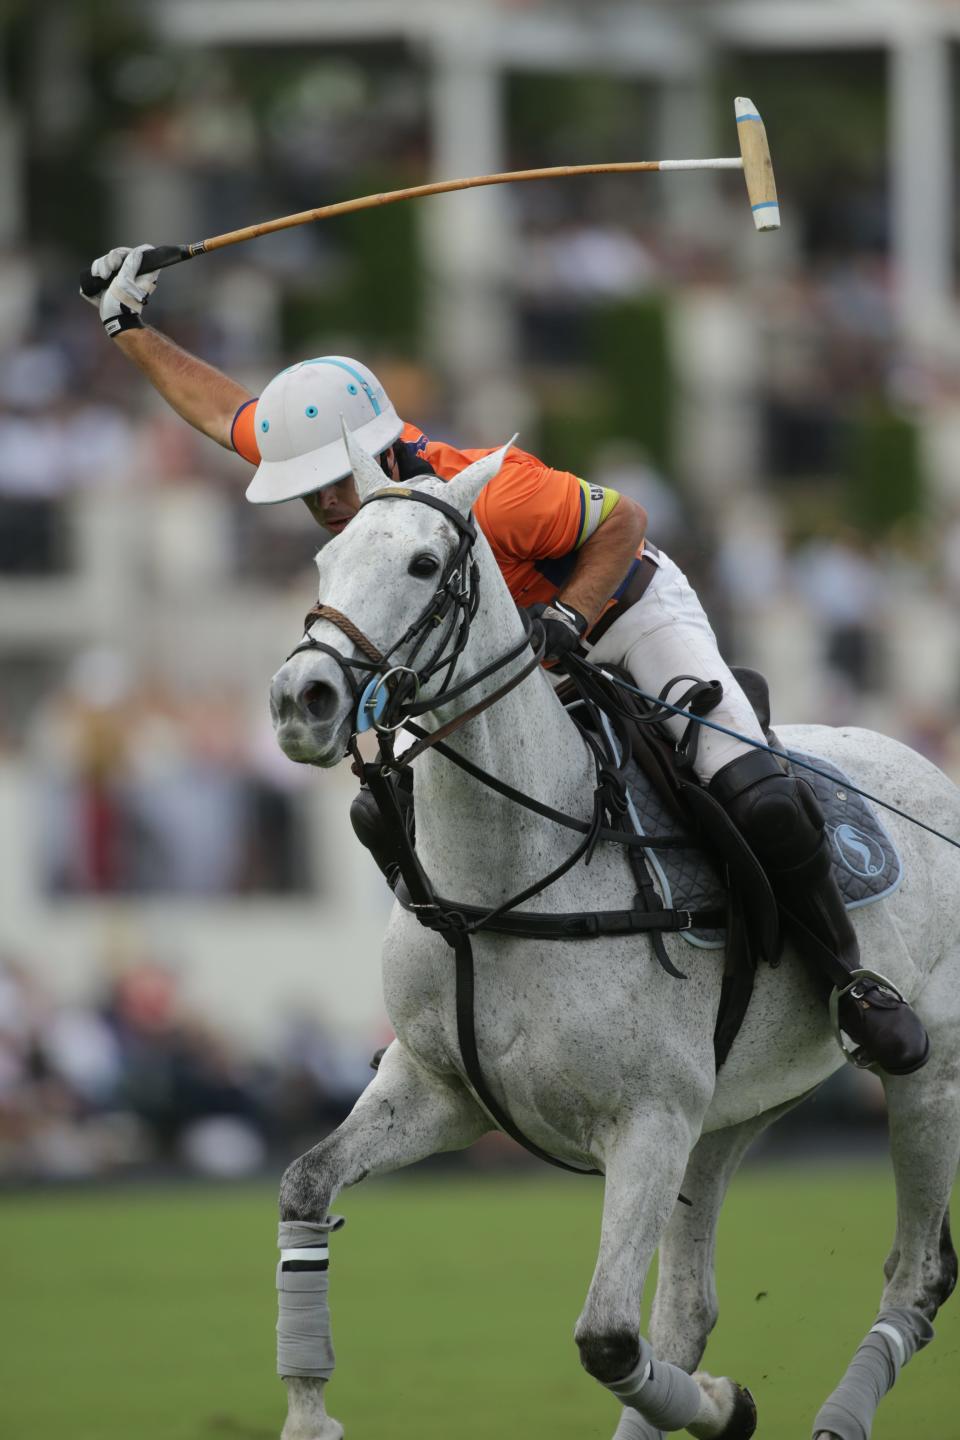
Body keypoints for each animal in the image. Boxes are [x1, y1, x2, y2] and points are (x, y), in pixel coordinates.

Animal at [264, 437, 960, 1440]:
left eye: (426, 565)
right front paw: (310, 1416)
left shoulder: (648, 1121)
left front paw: (727, 1406)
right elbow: (305, 1185)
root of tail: (922, 759)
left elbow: (604, 1338)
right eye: (324, 559)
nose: (301, 700)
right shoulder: (439, 1093)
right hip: (734, 1108)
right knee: (690, 1306)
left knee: (916, 1276)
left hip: (928, 1074)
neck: (504, 886)